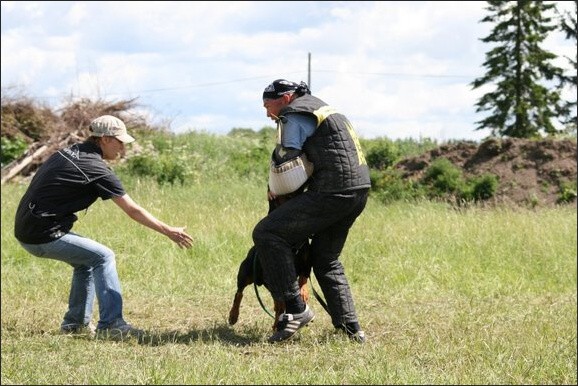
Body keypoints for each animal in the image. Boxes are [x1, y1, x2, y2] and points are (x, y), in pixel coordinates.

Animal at [227, 188, 312, 330]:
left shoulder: (307, 263)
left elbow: (303, 279)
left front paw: (303, 293)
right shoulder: (272, 274)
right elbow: (280, 300)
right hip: (245, 273)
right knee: (239, 293)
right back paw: (233, 315)